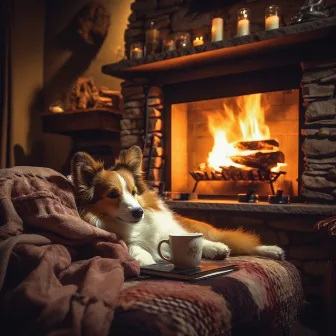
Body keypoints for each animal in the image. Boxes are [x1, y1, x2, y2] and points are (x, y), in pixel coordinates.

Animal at [70, 146, 284, 266]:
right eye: (113, 194)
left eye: (133, 192)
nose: (139, 212)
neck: (133, 227)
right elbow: (131, 245)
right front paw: (144, 257)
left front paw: (213, 248)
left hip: (204, 229)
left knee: (236, 241)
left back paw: (271, 250)